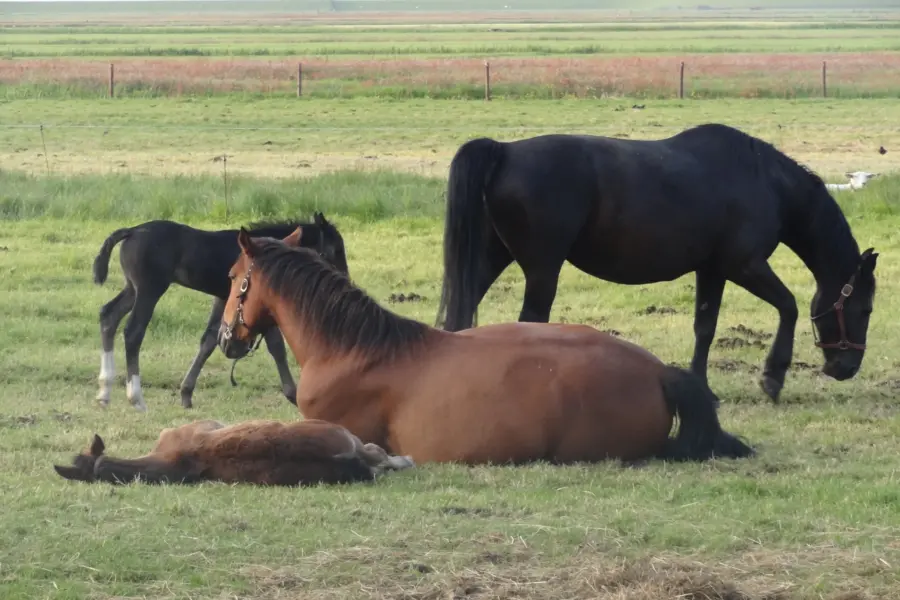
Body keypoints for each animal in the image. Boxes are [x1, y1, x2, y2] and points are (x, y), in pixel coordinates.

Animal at [92, 212, 349, 412]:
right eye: (335, 249)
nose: (344, 279)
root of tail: (132, 231)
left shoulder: (223, 299)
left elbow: (209, 341)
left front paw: (186, 394)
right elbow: (276, 346)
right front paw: (293, 394)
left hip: (132, 289)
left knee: (108, 316)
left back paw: (104, 391)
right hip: (149, 289)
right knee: (133, 332)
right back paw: (135, 398)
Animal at [435, 123, 878, 403]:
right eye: (864, 309)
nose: (847, 366)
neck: (764, 182)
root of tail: (505, 151)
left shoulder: (713, 270)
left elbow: (705, 326)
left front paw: (702, 387)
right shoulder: (745, 266)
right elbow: (788, 305)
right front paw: (772, 377)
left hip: (491, 258)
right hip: (543, 269)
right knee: (530, 322)